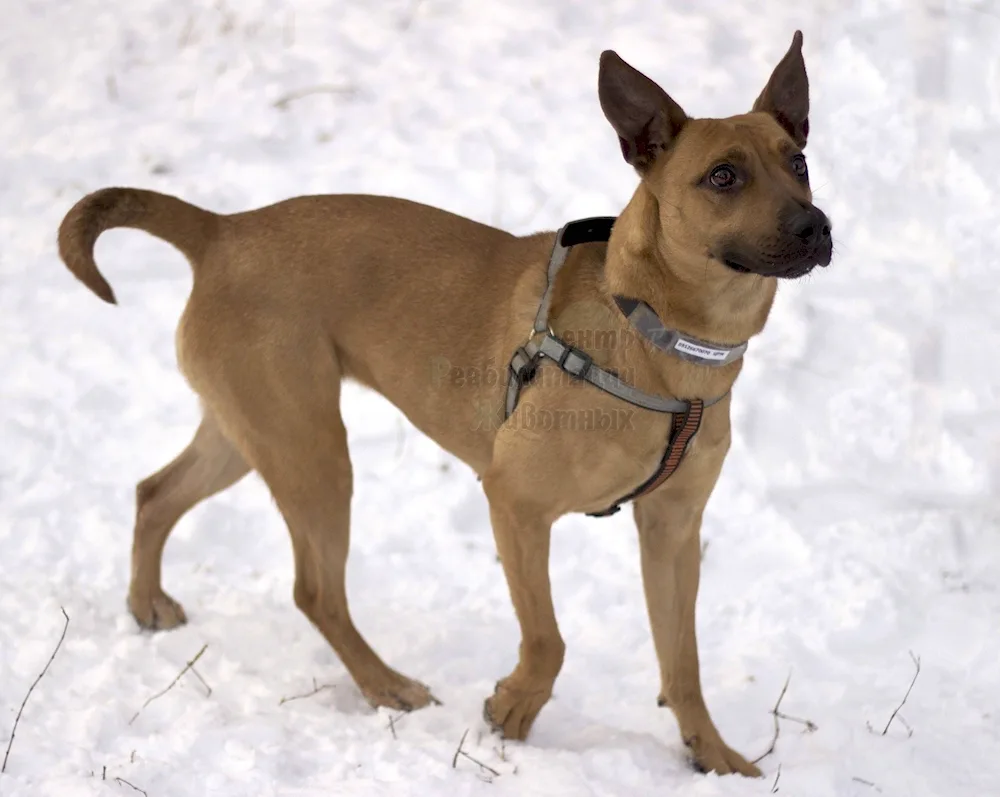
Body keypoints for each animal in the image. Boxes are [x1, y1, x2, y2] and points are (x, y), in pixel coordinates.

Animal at [58, 32, 832, 776]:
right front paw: (512, 713)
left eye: (798, 161)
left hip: (250, 430)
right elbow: (549, 640)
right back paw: (385, 686)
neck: (658, 336)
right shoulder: (516, 503)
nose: (816, 227)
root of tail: (222, 230)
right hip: (311, 451)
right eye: (723, 176)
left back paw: (146, 604)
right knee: (315, 590)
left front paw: (711, 753)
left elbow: (683, 660)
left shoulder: (671, 529)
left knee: (156, 493)